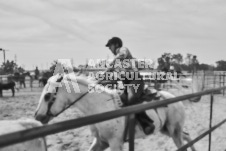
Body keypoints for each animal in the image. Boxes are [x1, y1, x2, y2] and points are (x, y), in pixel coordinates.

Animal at [34, 72, 195, 150]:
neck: (100, 108)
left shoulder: (115, 143)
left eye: (47, 96)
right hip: (166, 130)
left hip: (173, 131)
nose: (37, 116)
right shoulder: (101, 142)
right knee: (187, 137)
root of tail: (177, 100)